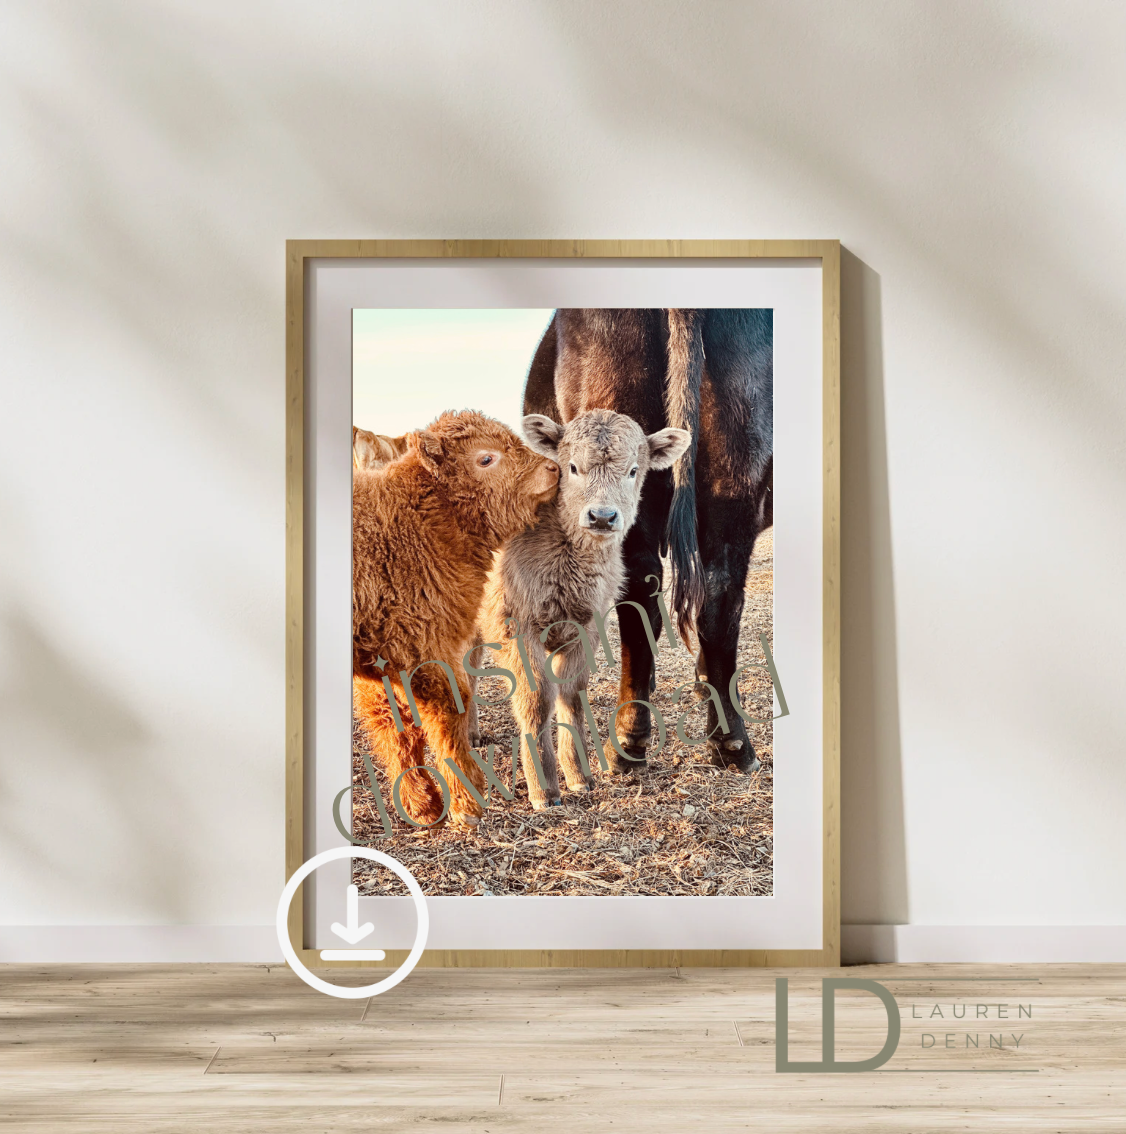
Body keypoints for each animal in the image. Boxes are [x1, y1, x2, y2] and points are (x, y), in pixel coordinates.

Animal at [352, 410, 560, 827]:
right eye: (486, 458)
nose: (553, 468)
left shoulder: (380, 660)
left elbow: (395, 723)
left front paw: (422, 804)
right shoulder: (421, 646)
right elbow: (448, 707)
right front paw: (467, 802)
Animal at [475, 410, 690, 809]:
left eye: (633, 470)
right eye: (571, 467)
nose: (602, 516)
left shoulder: (586, 626)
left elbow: (572, 695)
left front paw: (578, 776)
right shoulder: (516, 625)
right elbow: (536, 699)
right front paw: (543, 789)